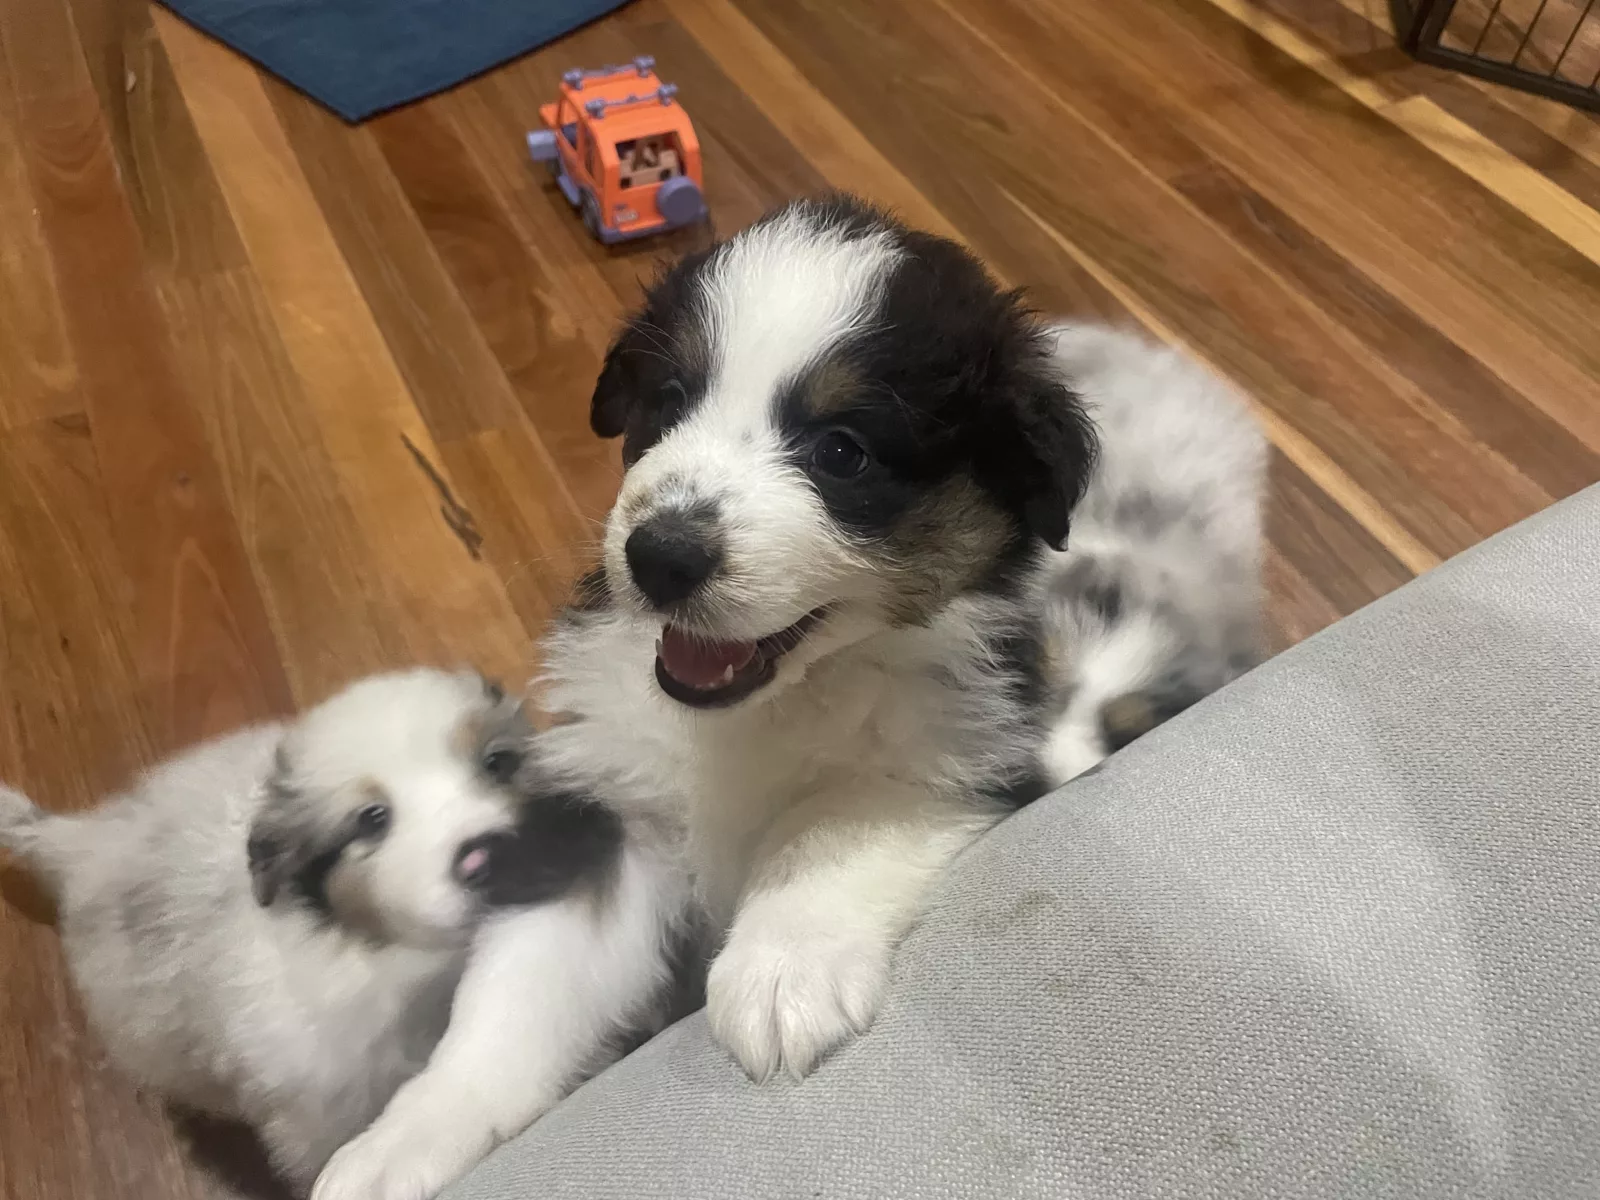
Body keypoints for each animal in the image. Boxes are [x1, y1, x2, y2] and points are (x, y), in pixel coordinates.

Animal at [0, 668, 672, 1198]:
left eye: (498, 764)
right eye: (371, 820)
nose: (487, 856)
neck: (410, 967)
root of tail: (86, 842)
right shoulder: (313, 1113)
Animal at [512, 195, 1267, 1085]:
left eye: (843, 453)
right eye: (665, 402)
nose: (661, 557)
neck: (763, 711)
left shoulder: (956, 761)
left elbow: (836, 821)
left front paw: (781, 971)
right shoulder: (619, 802)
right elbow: (523, 998)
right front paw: (423, 1123)